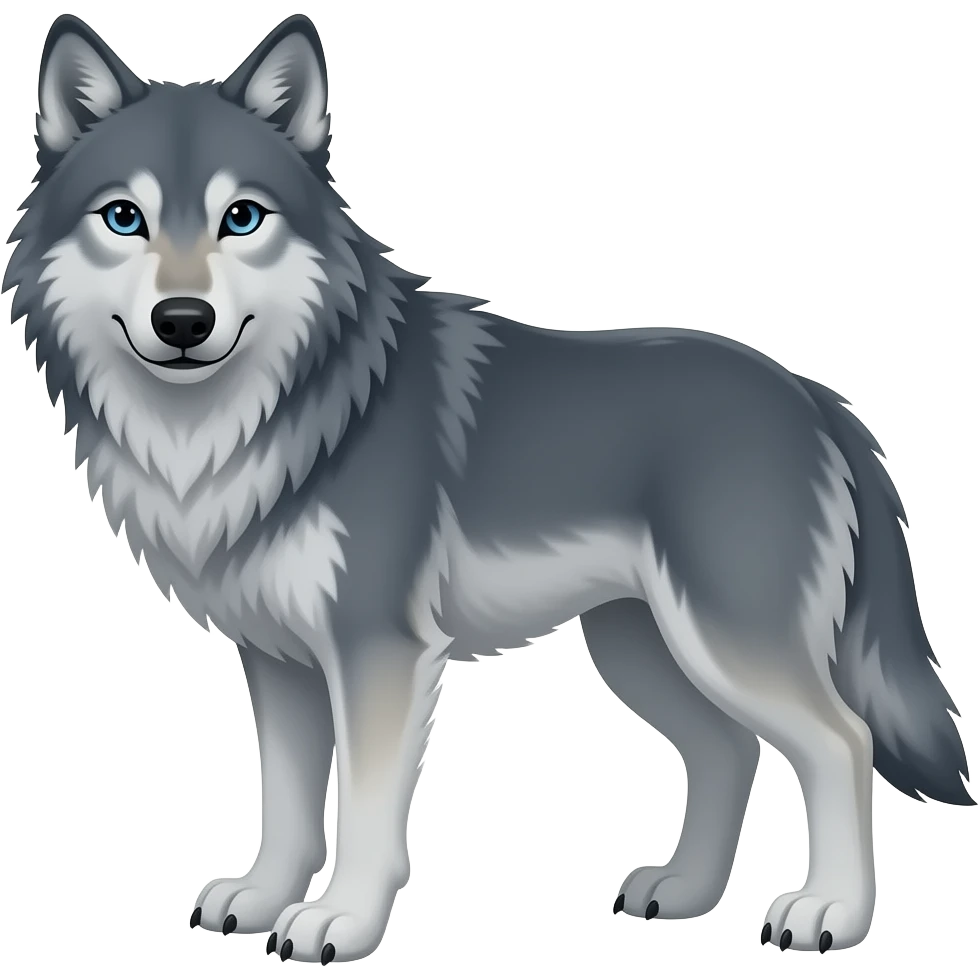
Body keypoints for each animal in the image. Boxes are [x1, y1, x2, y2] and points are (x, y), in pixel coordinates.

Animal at [3, 11, 973, 966]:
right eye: (124, 218)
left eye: (241, 218)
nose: (183, 320)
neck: (247, 421)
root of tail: (816, 397)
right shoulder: (277, 659)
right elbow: (285, 805)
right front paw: (263, 898)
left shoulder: (379, 652)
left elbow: (364, 813)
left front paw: (340, 921)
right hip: (641, 650)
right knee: (729, 750)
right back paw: (685, 892)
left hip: (726, 643)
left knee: (840, 742)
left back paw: (829, 913)